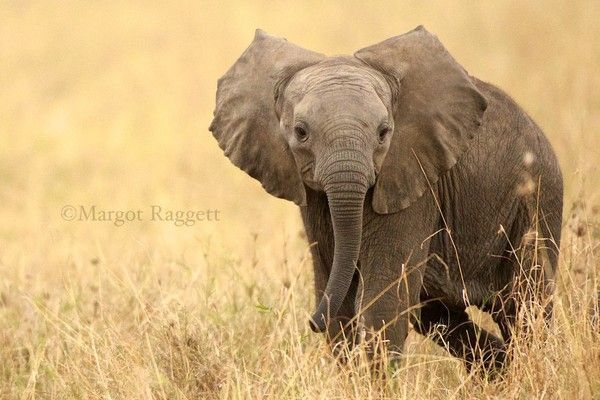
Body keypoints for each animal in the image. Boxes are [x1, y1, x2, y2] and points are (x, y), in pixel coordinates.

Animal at [210, 27, 564, 372]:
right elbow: (339, 297)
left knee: (526, 304)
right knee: (439, 316)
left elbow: (382, 302)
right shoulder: (312, 198)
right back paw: (503, 368)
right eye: (300, 132)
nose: (312, 322)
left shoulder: (414, 180)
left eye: (384, 133)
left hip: (539, 197)